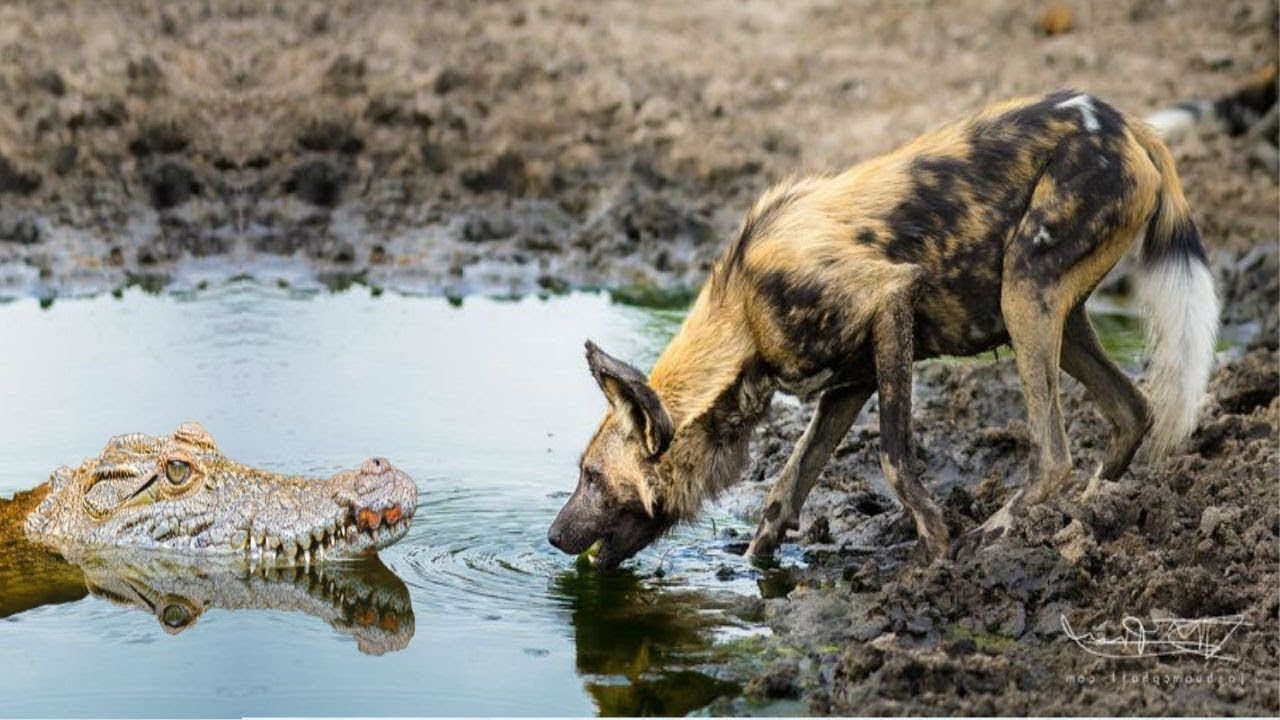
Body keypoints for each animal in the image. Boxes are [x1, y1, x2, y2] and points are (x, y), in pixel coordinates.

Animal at [547, 90, 1218, 566]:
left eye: (592, 478)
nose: (553, 535)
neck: (743, 320)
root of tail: (1130, 124)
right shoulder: (850, 381)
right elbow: (785, 490)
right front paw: (753, 567)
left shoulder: (888, 301)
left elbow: (894, 459)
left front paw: (939, 550)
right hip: (1053, 312)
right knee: (1131, 411)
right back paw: (1090, 513)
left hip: (1025, 294)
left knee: (1054, 457)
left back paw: (997, 534)